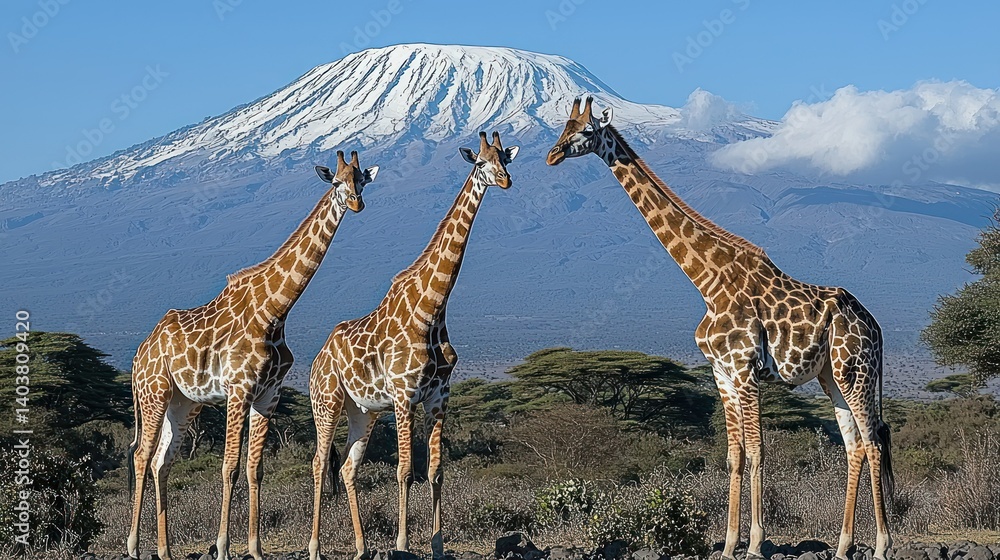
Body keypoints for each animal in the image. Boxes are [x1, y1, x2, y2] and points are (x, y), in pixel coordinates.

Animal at [126, 150, 379, 560]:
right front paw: (223, 547)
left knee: (162, 463)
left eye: (362, 181)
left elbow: (254, 468)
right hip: (154, 392)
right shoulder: (238, 389)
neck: (276, 308)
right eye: (337, 182)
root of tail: (139, 354)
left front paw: (256, 549)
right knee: (141, 456)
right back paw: (133, 546)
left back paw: (164, 550)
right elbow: (229, 467)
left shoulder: (268, 395)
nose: (356, 204)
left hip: (183, 403)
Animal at [308, 131, 519, 560]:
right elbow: (405, 470)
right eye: (480, 163)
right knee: (321, 464)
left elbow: (435, 471)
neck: (432, 307)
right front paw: (403, 543)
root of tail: (316, 361)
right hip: (327, 402)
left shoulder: (439, 396)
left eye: (505, 158)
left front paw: (438, 546)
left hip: (364, 411)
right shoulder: (405, 395)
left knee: (347, 467)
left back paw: (361, 547)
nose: (505, 180)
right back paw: (315, 547)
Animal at [547, 98, 894, 560]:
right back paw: (842, 546)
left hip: (855, 372)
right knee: (854, 445)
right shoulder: (722, 373)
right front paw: (729, 545)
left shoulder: (745, 369)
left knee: (873, 444)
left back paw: (882, 544)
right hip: (831, 376)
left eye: (585, 130)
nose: (552, 155)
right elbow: (735, 455)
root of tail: (875, 326)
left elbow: (758, 452)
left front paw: (756, 543)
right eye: (562, 126)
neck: (707, 283)